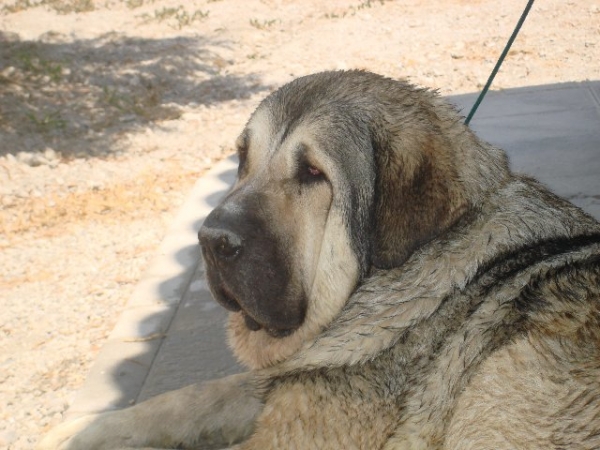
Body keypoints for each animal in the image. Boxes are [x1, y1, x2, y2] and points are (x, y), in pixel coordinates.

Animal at [38, 68, 600, 448]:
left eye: (313, 173)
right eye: (242, 160)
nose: (210, 240)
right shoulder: (288, 380)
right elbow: (188, 397)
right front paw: (79, 429)